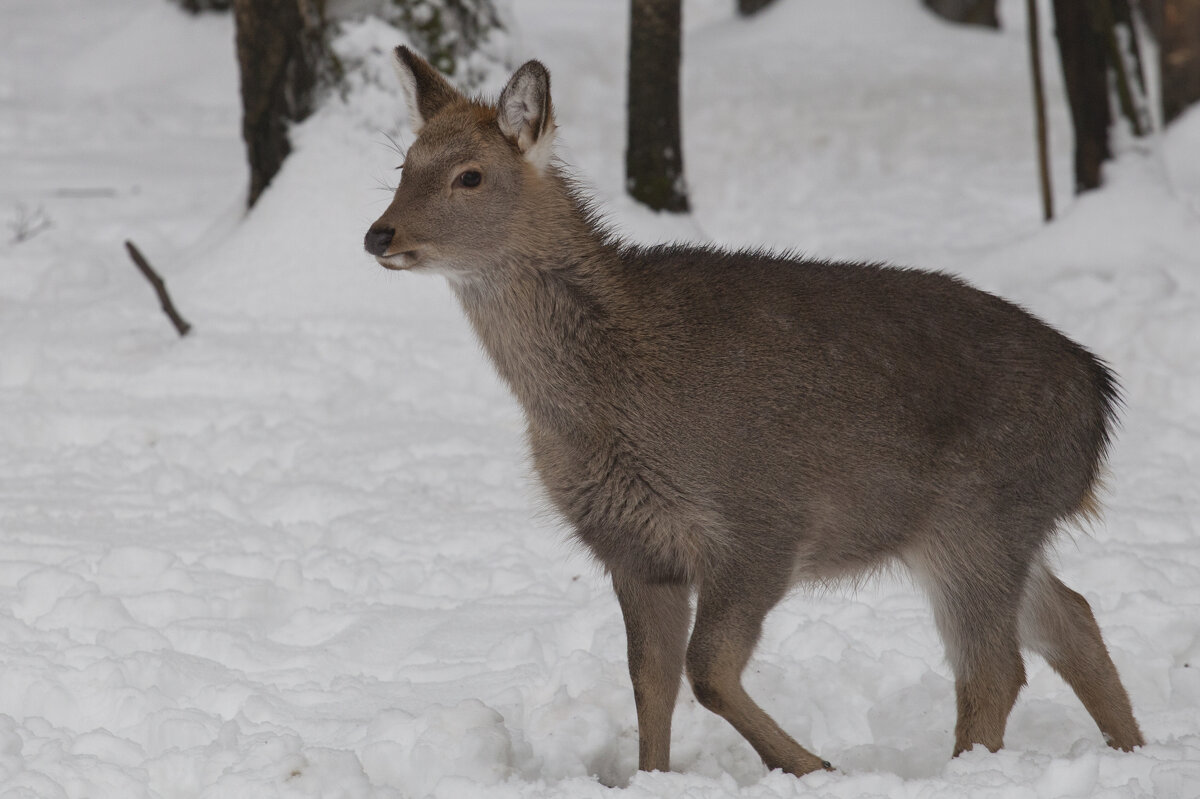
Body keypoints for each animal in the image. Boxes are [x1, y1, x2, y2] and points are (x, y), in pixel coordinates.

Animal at [362, 46, 1142, 772]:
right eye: (403, 163)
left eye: (470, 175)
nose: (379, 235)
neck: (608, 398)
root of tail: (1099, 398)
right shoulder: (633, 545)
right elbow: (650, 679)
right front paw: (656, 773)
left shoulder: (763, 522)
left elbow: (706, 669)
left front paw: (813, 765)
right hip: (991, 529)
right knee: (1073, 617)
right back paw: (1133, 747)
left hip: (980, 517)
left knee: (996, 668)